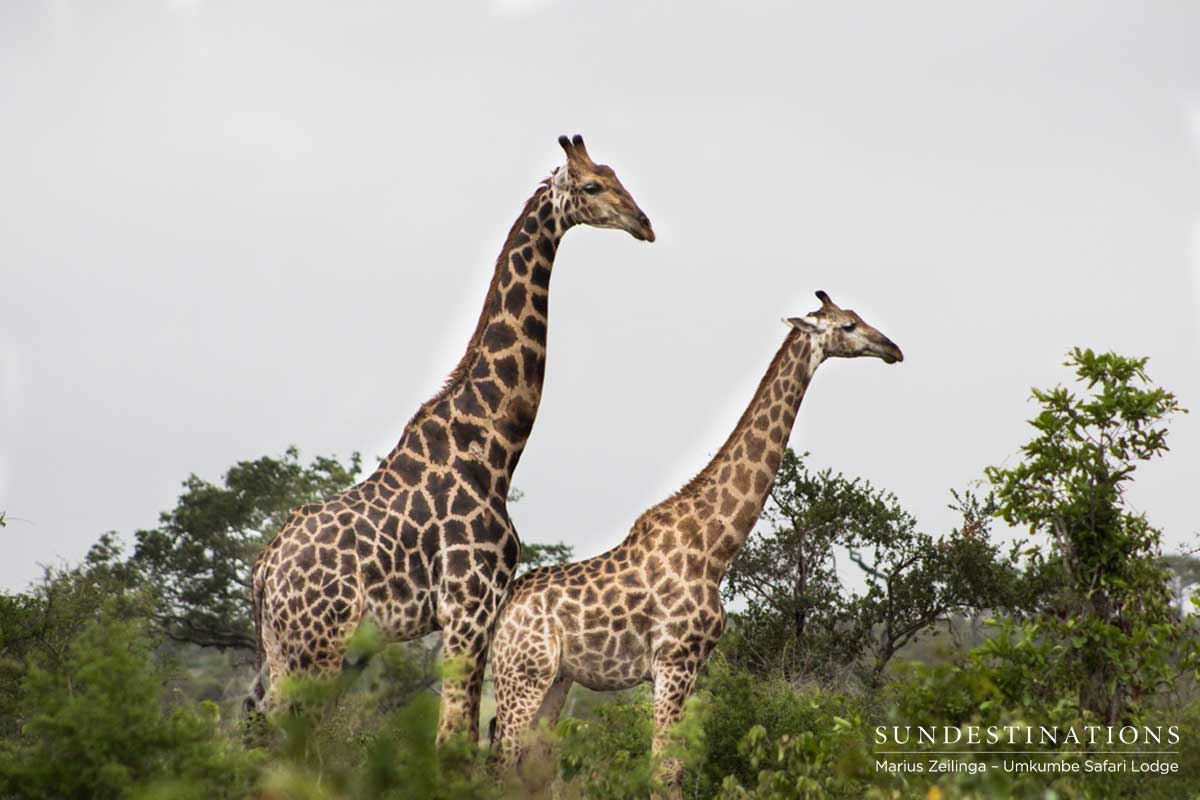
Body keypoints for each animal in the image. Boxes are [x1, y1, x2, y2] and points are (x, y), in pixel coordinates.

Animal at [245, 134, 654, 744]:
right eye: (592, 186)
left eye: (615, 175)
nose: (643, 223)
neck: (495, 446)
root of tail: (266, 569)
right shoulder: (469, 606)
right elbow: (455, 738)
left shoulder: (481, 611)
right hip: (317, 642)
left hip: (282, 647)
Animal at [488, 291, 902, 796]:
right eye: (847, 326)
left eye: (857, 318)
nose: (892, 349)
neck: (714, 546)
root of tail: (504, 609)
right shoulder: (675, 660)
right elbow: (665, 767)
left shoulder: (688, 667)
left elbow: (674, 764)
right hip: (521, 675)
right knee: (499, 763)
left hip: (555, 680)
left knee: (530, 768)